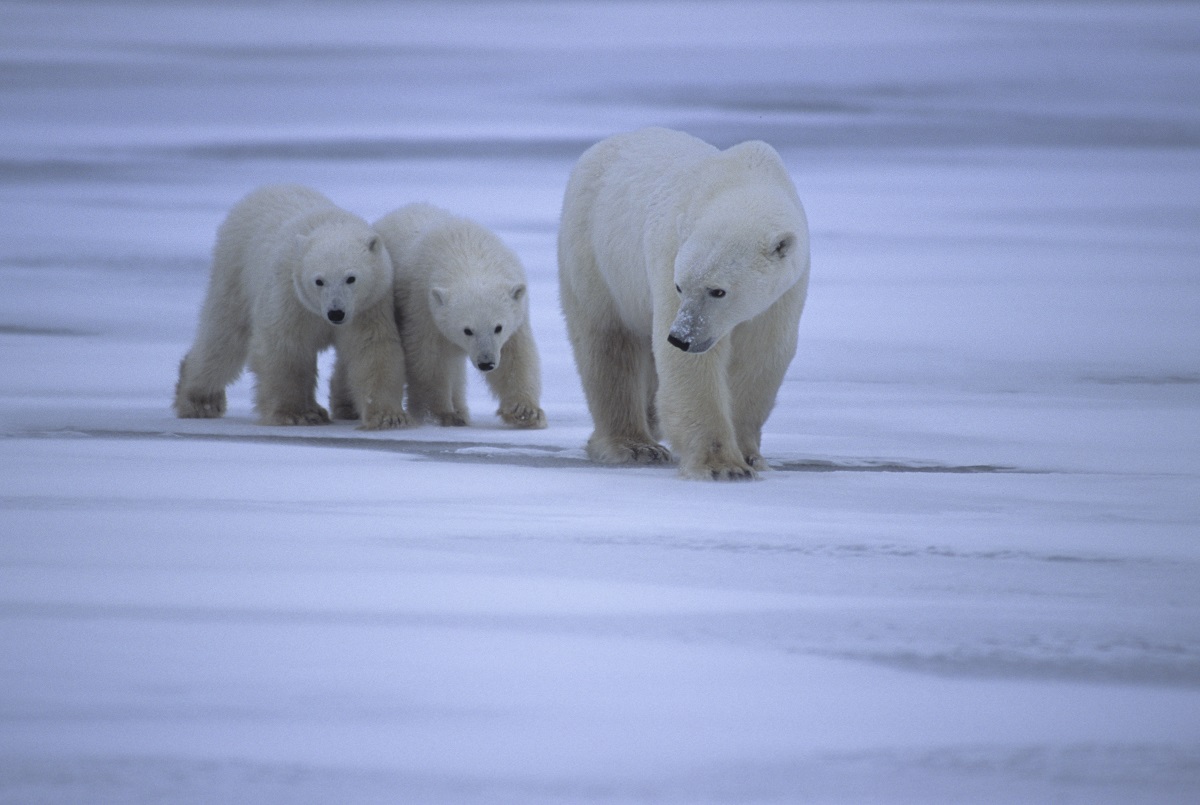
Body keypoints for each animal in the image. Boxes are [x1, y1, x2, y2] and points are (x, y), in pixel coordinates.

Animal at [174, 184, 409, 429]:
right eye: (319, 280)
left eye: (351, 278)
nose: (336, 313)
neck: (330, 223)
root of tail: (264, 189)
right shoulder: (291, 298)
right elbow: (286, 348)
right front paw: (296, 414)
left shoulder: (368, 306)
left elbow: (372, 348)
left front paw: (389, 417)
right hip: (235, 273)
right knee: (224, 340)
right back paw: (201, 402)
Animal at [331, 203, 546, 429]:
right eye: (467, 330)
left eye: (498, 327)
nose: (486, 363)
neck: (467, 253)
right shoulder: (423, 306)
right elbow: (428, 359)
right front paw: (441, 415)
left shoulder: (517, 314)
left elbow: (515, 356)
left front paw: (526, 412)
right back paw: (346, 407)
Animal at [557, 127, 810, 480]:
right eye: (680, 286)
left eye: (718, 291)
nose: (680, 338)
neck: (742, 180)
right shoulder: (668, 253)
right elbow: (693, 368)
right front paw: (722, 466)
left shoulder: (785, 291)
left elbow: (759, 357)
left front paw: (750, 456)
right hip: (596, 254)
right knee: (609, 344)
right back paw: (634, 445)